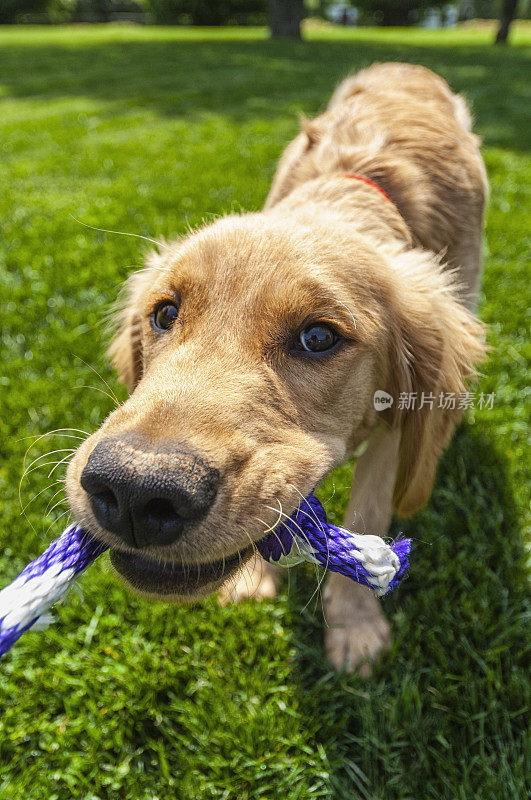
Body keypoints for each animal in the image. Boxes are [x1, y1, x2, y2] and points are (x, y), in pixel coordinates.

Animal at [65, 64, 486, 676]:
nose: (135, 492)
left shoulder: (403, 416)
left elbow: (370, 509)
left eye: (318, 337)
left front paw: (355, 628)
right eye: (165, 313)